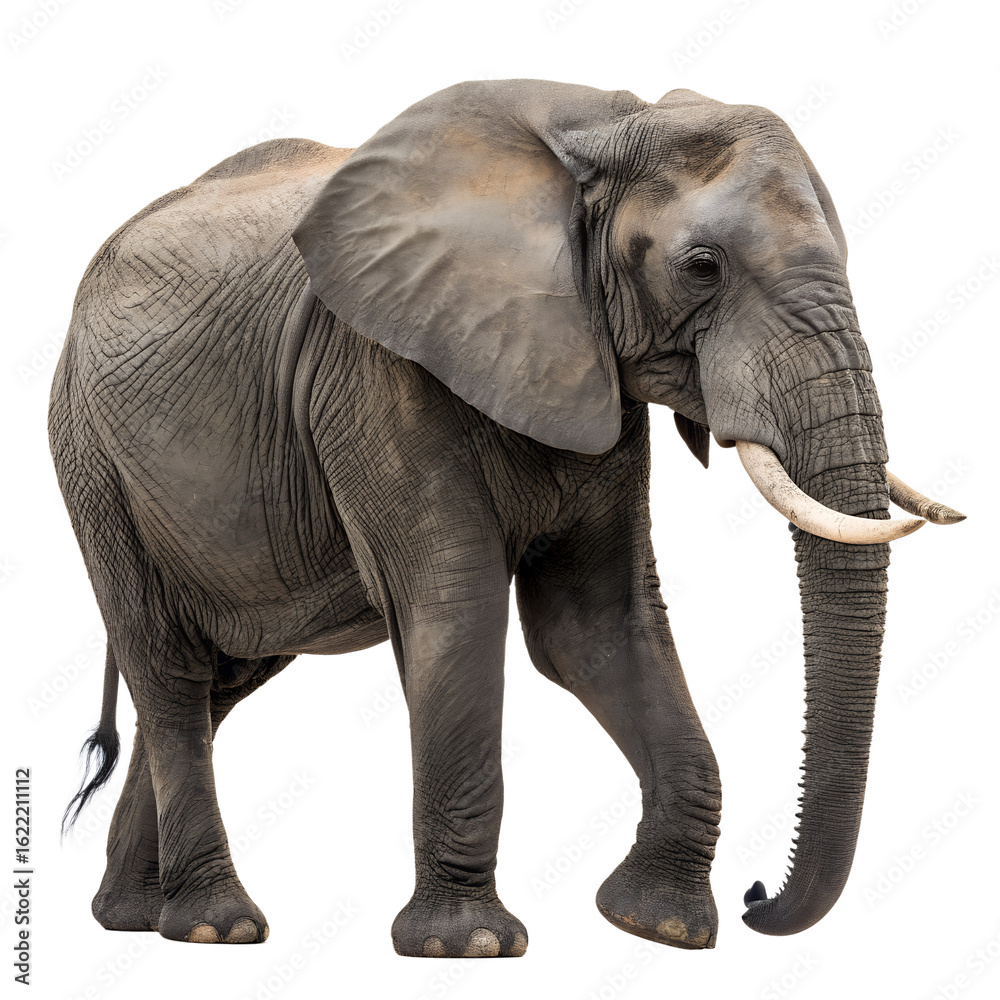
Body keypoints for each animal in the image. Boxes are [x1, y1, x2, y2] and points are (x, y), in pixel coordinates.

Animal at [50, 78, 964, 955]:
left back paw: (136, 917)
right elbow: (457, 608)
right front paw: (469, 944)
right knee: (171, 672)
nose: (757, 898)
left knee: (218, 683)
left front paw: (659, 926)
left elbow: (594, 626)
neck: (603, 125)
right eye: (702, 266)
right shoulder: (376, 369)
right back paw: (218, 925)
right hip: (93, 464)